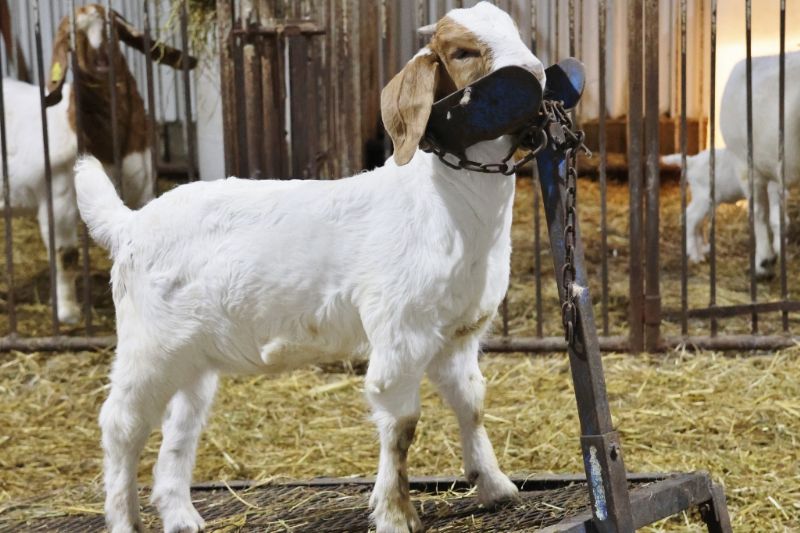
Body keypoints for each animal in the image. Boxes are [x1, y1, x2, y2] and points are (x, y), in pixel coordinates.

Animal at [1, 4, 194, 323]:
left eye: (111, 26)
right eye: (71, 37)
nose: (102, 64)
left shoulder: (142, 181)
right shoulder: (59, 196)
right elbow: (66, 254)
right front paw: (68, 312)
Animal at [75, 3, 543, 532]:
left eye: (515, 31)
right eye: (463, 52)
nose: (536, 74)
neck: (445, 204)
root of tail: (128, 224)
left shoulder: (458, 334)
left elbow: (472, 403)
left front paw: (496, 486)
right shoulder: (402, 331)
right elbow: (401, 425)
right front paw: (395, 512)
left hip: (192, 355)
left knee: (180, 426)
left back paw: (180, 515)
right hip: (148, 345)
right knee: (120, 424)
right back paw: (124, 519)